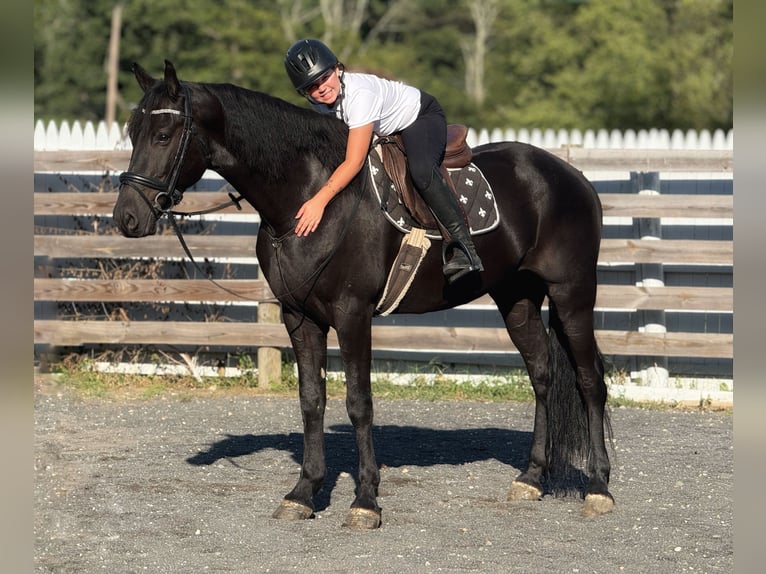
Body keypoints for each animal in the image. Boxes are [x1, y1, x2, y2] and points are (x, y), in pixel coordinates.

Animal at [113, 60, 614, 529]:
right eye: (133, 132)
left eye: (163, 134)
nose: (127, 218)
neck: (310, 196)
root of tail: (572, 176)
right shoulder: (299, 317)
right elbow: (311, 400)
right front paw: (303, 492)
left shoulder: (353, 316)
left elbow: (358, 403)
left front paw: (365, 500)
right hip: (517, 297)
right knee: (542, 374)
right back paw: (531, 478)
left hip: (572, 294)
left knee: (589, 380)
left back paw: (599, 487)